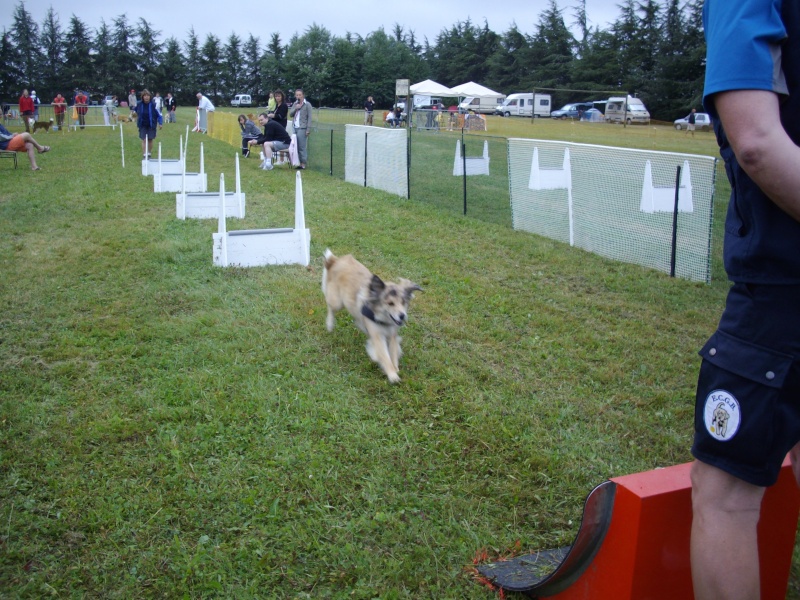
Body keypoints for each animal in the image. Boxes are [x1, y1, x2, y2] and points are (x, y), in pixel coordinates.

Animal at [322, 250, 422, 384]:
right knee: (330, 307)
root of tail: (335, 261)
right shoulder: (378, 336)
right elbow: (384, 356)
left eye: (403, 302)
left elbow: (393, 353)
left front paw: (395, 369)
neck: (383, 318)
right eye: (390, 303)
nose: (402, 316)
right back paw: (330, 324)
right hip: (337, 302)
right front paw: (392, 375)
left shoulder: (392, 335)